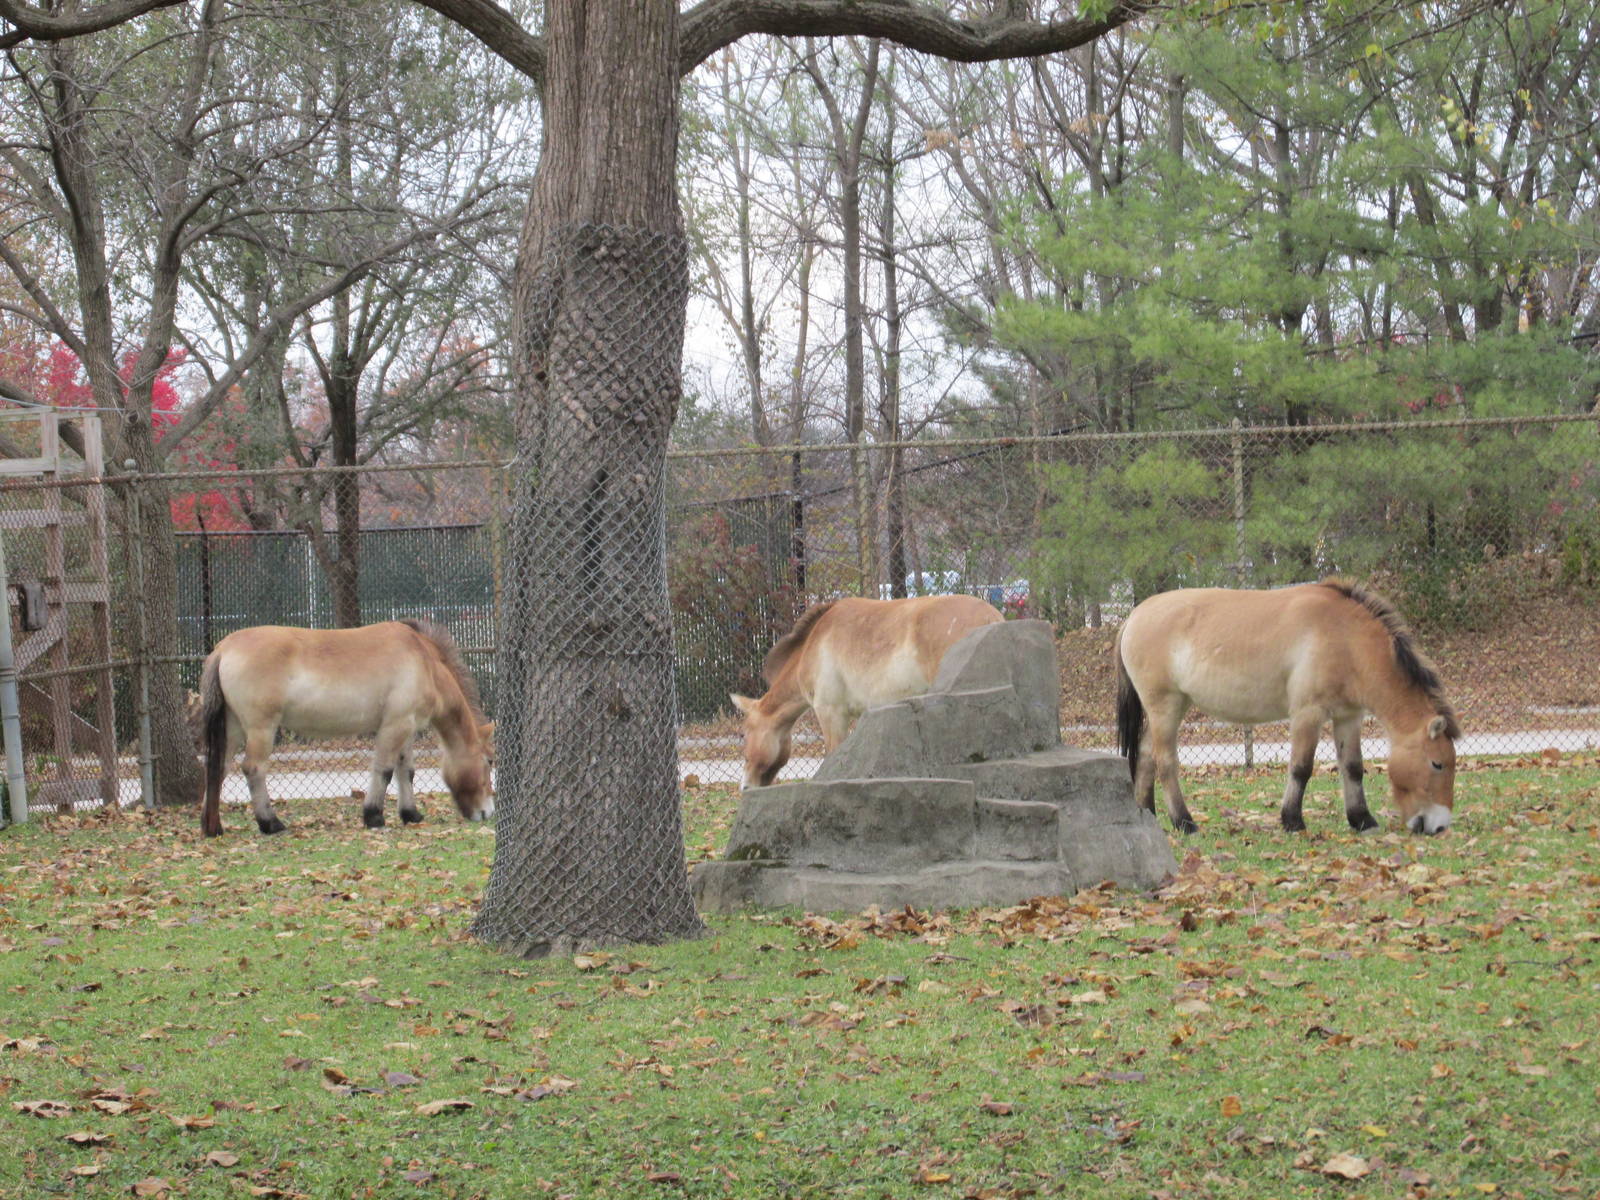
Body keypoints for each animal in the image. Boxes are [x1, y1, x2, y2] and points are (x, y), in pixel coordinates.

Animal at [197, 619, 495, 836]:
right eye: (489, 761)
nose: (487, 812)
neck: (425, 661)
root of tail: (223, 649)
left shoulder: (407, 729)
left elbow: (406, 771)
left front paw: (411, 814)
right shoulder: (395, 726)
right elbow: (385, 770)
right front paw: (374, 816)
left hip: (233, 728)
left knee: (218, 768)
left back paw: (213, 827)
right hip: (261, 729)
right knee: (253, 769)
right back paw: (271, 823)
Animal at [1114, 579, 1459, 836]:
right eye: (1437, 764)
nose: (1439, 826)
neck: (1346, 638)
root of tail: (1134, 616)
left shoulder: (1348, 717)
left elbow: (1352, 767)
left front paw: (1362, 819)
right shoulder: (1308, 714)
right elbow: (1301, 768)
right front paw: (1292, 820)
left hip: (1170, 708)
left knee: (1146, 755)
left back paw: (1148, 814)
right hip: (1166, 707)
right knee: (1165, 763)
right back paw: (1184, 822)